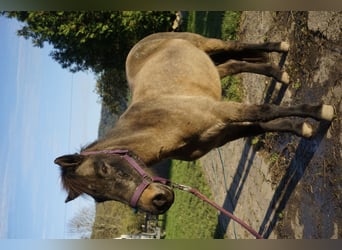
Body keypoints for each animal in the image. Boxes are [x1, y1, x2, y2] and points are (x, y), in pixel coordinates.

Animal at [54, 31, 334, 215]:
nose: (157, 201)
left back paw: (281, 49)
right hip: (213, 67)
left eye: (104, 169)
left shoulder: (224, 112)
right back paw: (277, 72)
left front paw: (321, 112)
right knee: (236, 63)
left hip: (206, 43)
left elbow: (263, 111)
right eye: (100, 198)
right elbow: (263, 125)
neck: (161, 122)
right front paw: (302, 128)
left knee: (235, 46)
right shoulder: (224, 132)